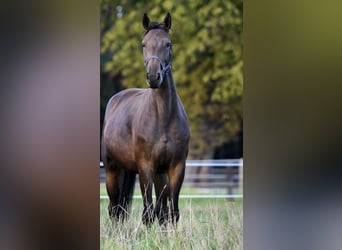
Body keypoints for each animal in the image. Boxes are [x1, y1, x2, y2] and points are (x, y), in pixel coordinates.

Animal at [101, 12, 191, 226]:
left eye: (168, 44)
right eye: (144, 44)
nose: (153, 76)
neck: (163, 118)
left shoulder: (176, 168)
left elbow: (171, 212)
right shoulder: (145, 167)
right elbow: (148, 213)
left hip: (157, 174)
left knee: (158, 210)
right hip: (112, 170)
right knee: (114, 208)